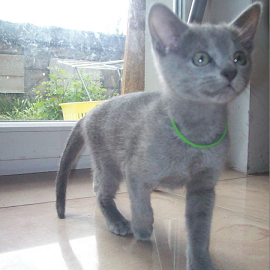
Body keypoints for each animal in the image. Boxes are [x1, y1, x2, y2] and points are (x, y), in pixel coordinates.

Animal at [56, 2, 262, 270]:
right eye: (201, 58)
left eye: (240, 57)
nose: (230, 71)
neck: (196, 135)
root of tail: (88, 113)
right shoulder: (134, 171)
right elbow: (142, 206)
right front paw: (142, 229)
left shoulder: (203, 185)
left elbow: (200, 228)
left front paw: (200, 260)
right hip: (108, 163)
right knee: (100, 190)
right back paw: (118, 221)